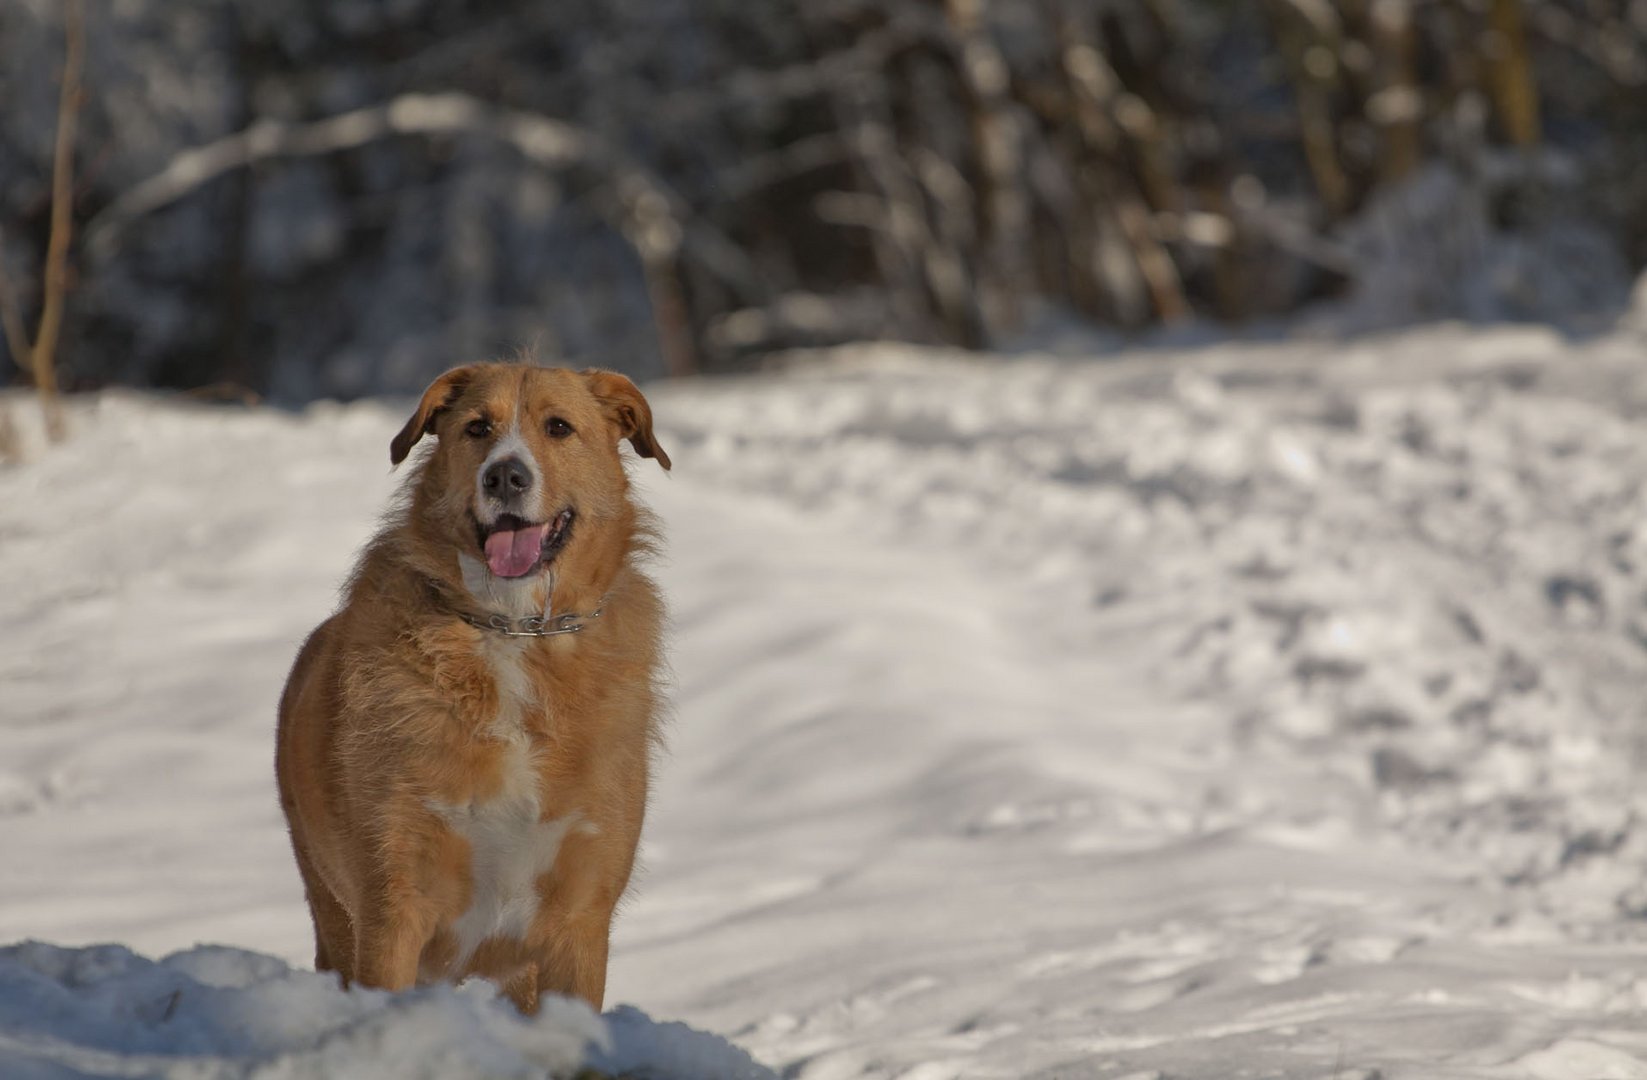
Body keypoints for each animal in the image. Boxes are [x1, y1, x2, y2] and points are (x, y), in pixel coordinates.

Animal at [276, 360, 668, 1014]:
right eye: (477, 428)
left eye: (558, 427)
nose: (505, 475)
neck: (514, 630)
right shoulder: (391, 906)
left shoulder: (580, 917)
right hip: (332, 913)